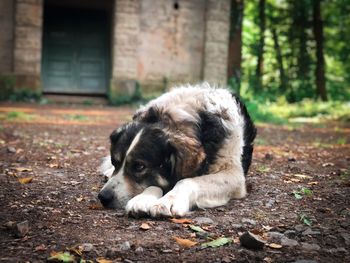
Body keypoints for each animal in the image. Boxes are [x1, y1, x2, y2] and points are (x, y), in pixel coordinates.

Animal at [97, 84, 256, 219]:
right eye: (115, 161)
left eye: (139, 167)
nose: (103, 197)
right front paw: (143, 199)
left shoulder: (234, 176)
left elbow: (186, 181)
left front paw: (168, 200)